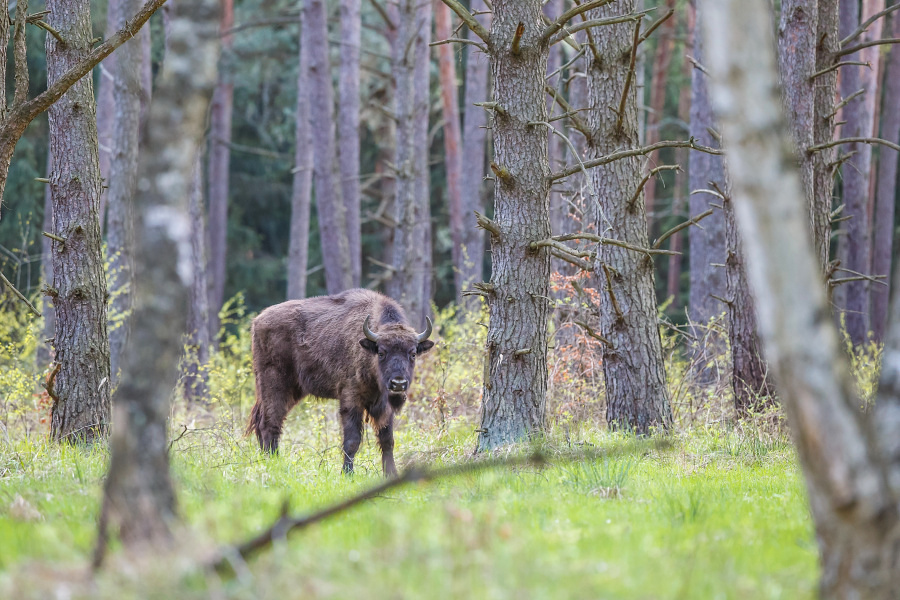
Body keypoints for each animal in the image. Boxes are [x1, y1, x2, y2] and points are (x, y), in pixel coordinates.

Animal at [243, 288, 432, 476]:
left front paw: (391, 474)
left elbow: (387, 439)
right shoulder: (351, 399)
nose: (398, 383)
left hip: (293, 390)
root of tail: (257, 321)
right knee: (270, 422)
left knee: (262, 419)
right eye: (381, 352)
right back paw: (273, 461)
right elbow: (352, 440)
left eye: (413, 353)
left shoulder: (384, 406)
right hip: (275, 383)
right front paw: (347, 473)